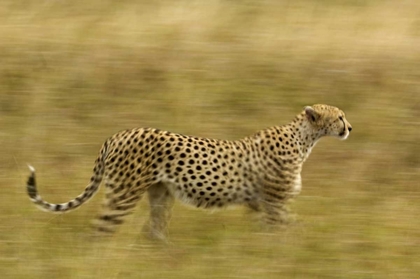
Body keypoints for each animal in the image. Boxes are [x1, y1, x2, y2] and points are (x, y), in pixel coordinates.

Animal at [27, 104, 352, 240]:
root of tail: (119, 133)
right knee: (100, 230)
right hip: (124, 194)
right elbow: (293, 229)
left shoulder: (259, 205)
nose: (350, 127)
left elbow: (274, 231)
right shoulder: (275, 204)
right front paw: (308, 246)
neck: (305, 137)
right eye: (339, 116)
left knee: (153, 231)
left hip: (160, 195)